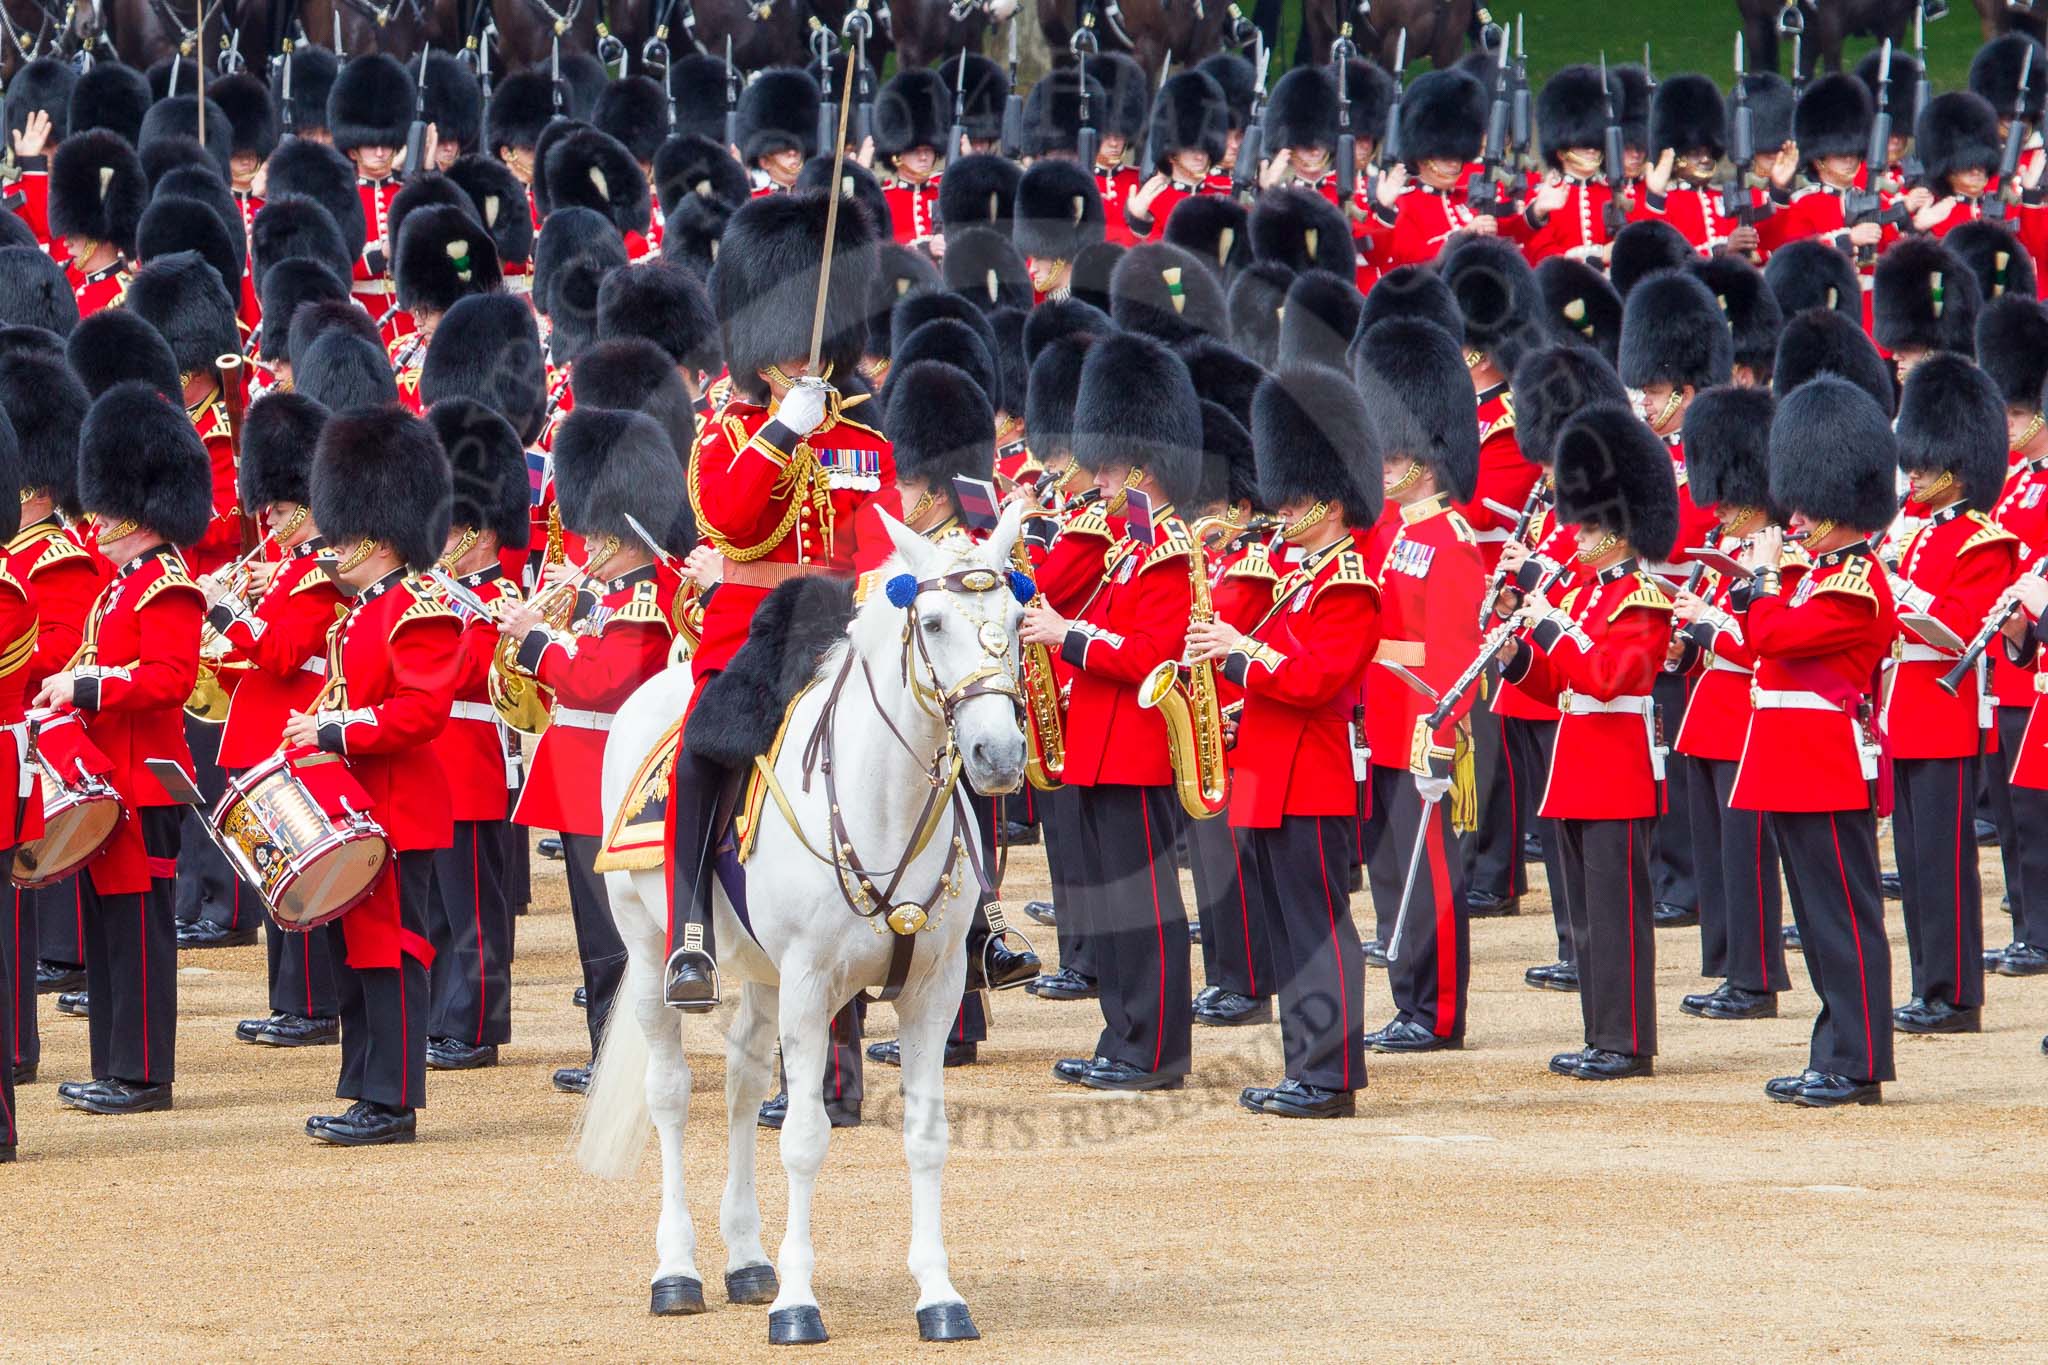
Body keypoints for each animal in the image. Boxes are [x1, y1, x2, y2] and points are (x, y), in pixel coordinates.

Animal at [573, 505, 1024, 1342]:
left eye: (1014, 622)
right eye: (934, 622)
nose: (998, 753)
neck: (883, 799)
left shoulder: (935, 989)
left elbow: (926, 1137)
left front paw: (939, 1294)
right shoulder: (813, 985)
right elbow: (806, 1139)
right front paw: (798, 1304)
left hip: (761, 973)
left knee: (743, 1086)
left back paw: (748, 1259)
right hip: (650, 951)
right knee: (671, 1094)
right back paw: (677, 1269)